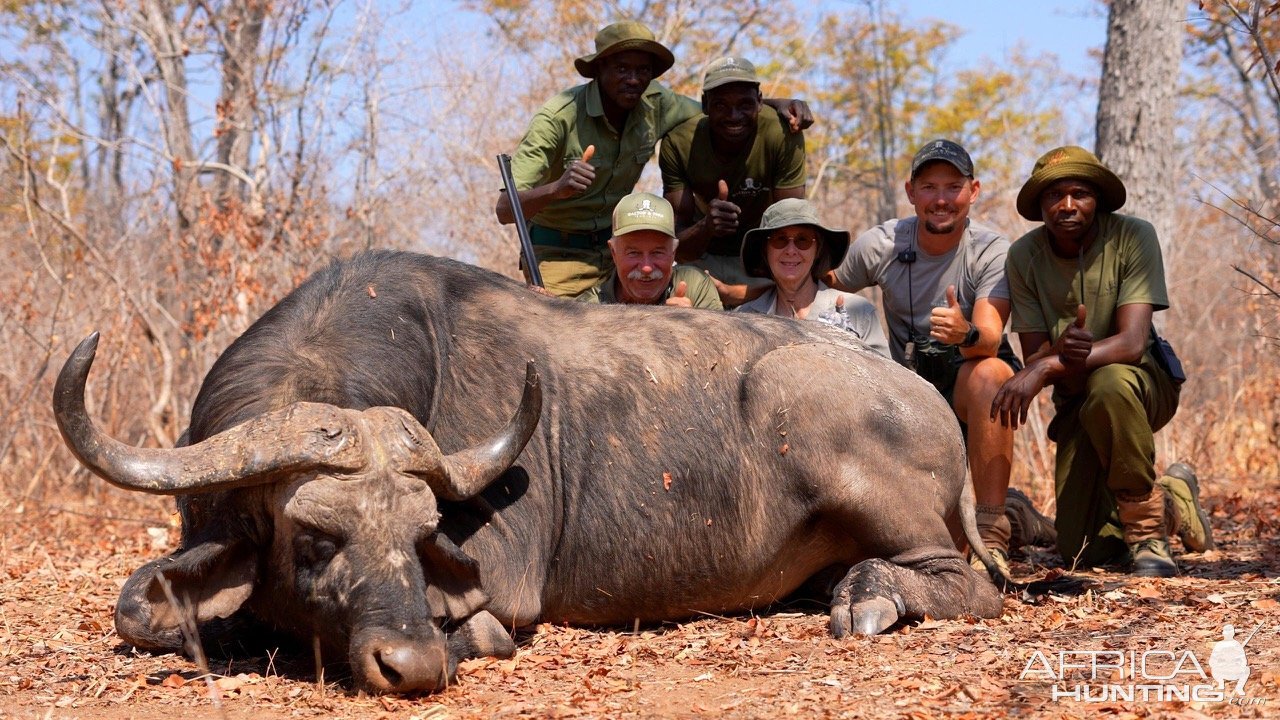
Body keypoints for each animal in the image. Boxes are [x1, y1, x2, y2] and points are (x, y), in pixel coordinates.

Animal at [55, 245, 1003, 691]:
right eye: (314, 538)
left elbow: (482, 623)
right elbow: (140, 612)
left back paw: (871, 597)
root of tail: (918, 396)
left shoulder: (498, 585)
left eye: (422, 533)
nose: (411, 663)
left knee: (968, 584)